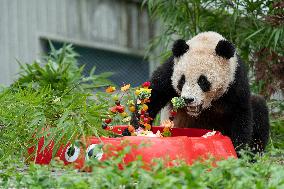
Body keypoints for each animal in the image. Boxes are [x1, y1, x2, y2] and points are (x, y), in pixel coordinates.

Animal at [131, 31, 268, 155]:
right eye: (182, 80)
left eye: (203, 81)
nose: (188, 99)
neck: (207, 41)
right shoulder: (170, 70)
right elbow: (153, 96)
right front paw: (135, 130)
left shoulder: (235, 80)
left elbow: (240, 114)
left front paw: (238, 151)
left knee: (258, 107)